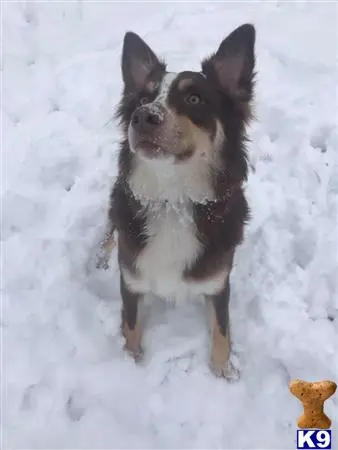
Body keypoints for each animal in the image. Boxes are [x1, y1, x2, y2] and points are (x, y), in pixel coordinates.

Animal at [96, 22, 255, 378]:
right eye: (143, 98)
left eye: (194, 98)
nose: (143, 116)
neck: (174, 200)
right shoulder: (131, 280)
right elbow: (130, 327)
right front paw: (131, 363)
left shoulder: (218, 281)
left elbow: (222, 327)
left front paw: (224, 369)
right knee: (109, 230)